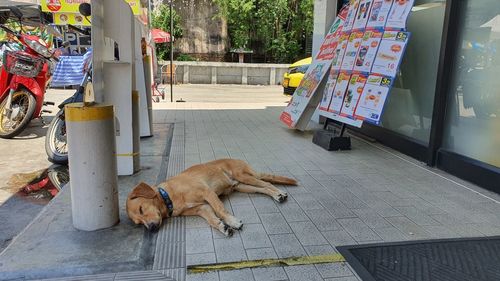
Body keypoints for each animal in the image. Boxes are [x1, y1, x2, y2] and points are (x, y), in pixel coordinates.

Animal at [126, 159, 296, 235]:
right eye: (138, 223)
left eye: (141, 209)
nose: (151, 229)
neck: (169, 197)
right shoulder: (202, 208)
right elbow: (212, 220)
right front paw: (222, 226)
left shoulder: (207, 193)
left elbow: (220, 210)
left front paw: (232, 222)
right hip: (244, 186)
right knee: (263, 188)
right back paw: (276, 195)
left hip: (245, 177)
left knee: (267, 183)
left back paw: (279, 193)